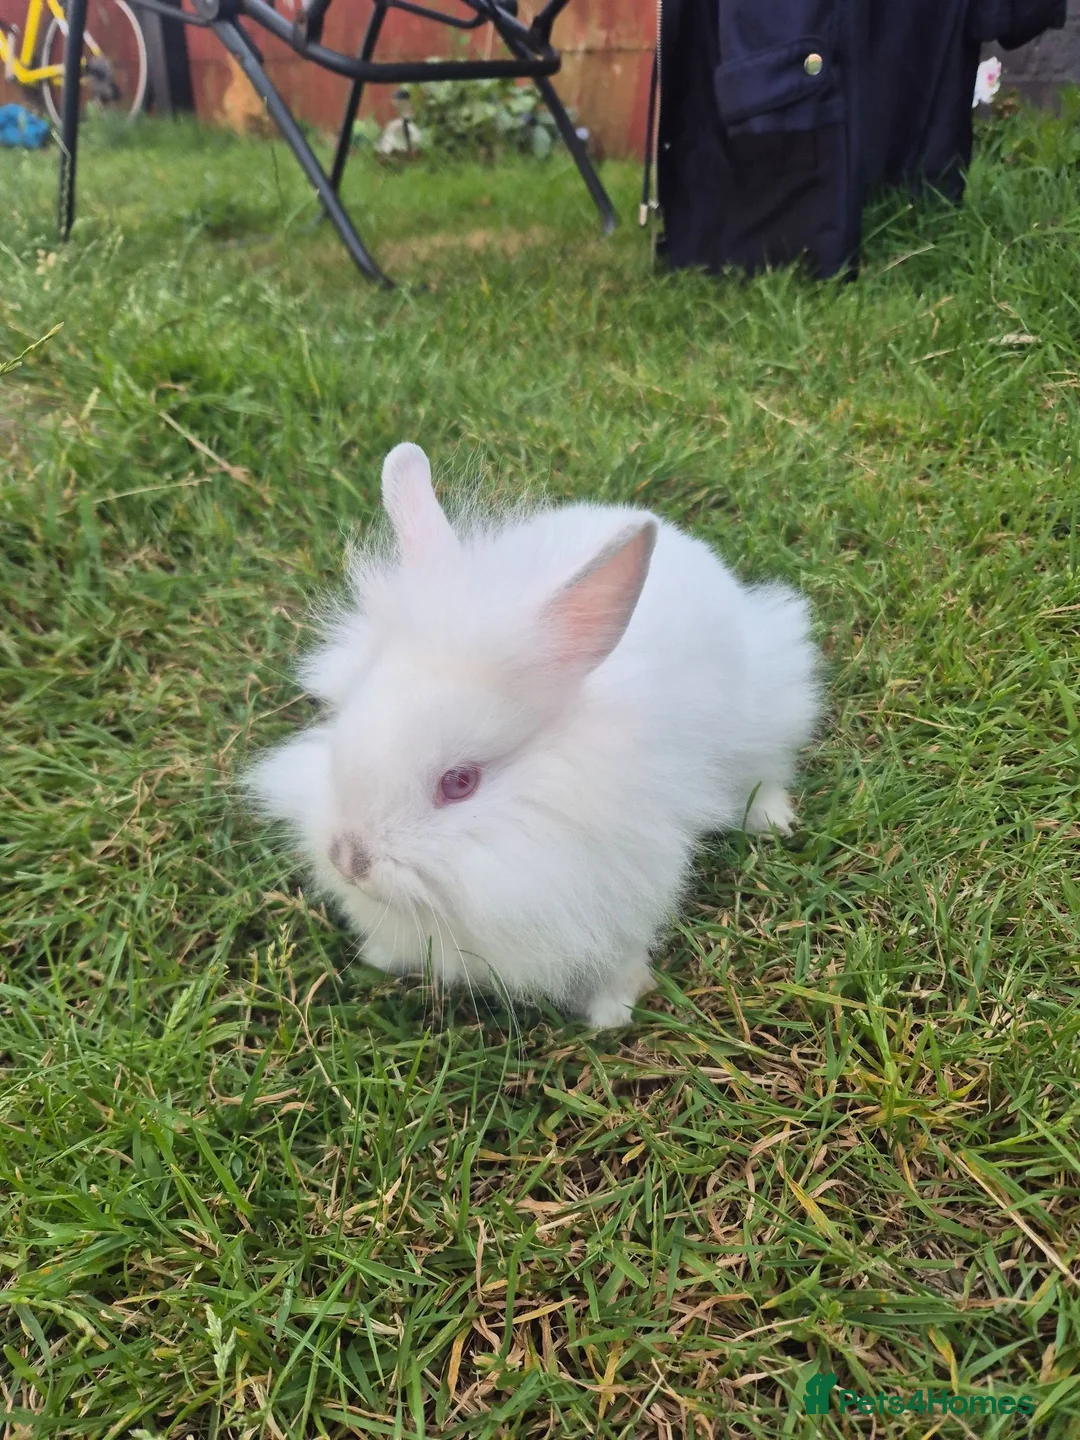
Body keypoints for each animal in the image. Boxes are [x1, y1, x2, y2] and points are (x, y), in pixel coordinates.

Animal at [245, 442, 822, 1029]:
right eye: (346, 724)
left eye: (460, 782)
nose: (348, 860)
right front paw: (379, 956)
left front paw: (611, 1014)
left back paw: (771, 820)